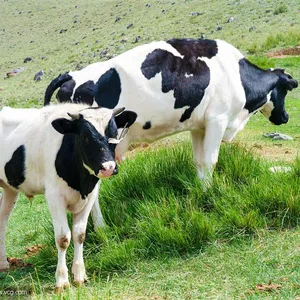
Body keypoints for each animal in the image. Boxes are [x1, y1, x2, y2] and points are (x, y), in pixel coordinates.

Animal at [0, 103, 136, 290]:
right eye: (85, 137)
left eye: (114, 133)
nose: (108, 167)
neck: (81, 182)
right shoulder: (54, 197)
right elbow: (63, 238)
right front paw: (62, 281)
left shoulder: (90, 196)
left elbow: (80, 234)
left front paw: (79, 275)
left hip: (9, 189)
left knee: (2, 219)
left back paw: (3, 263)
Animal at [44, 38, 298, 227]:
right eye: (286, 89)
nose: (285, 117)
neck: (234, 73)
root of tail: (71, 75)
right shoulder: (217, 119)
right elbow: (210, 161)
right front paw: (210, 193)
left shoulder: (199, 126)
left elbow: (199, 162)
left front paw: (202, 191)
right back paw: (101, 227)